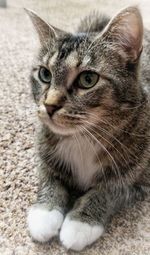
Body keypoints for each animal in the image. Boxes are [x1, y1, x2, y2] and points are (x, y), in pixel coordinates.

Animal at [25, 5, 150, 251]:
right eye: (44, 74)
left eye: (88, 79)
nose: (49, 105)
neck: (81, 138)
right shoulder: (43, 147)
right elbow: (48, 176)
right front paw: (45, 212)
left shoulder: (142, 179)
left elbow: (111, 189)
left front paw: (80, 223)